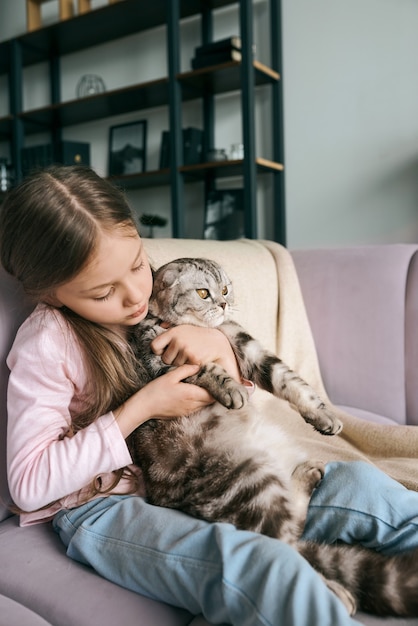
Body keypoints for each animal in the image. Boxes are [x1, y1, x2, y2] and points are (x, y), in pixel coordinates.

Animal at [127, 258, 418, 616]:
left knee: (292, 532)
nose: (223, 304)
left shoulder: (248, 348)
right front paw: (230, 388)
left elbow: (291, 381)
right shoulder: (159, 362)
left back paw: (308, 476)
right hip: (250, 481)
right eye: (203, 293)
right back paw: (338, 593)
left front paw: (324, 416)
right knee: (285, 543)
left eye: (225, 290)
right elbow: (205, 369)